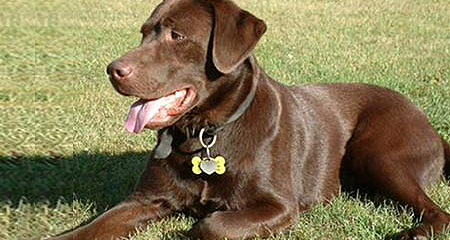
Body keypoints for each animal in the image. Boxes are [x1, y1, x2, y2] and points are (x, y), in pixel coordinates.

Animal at [47, 0, 448, 239]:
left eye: (177, 35)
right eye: (144, 33)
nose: (113, 69)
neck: (205, 134)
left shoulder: (279, 206)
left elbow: (210, 224)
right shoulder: (144, 198)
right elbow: (91, 227)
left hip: (380, 153)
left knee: (437, 210)